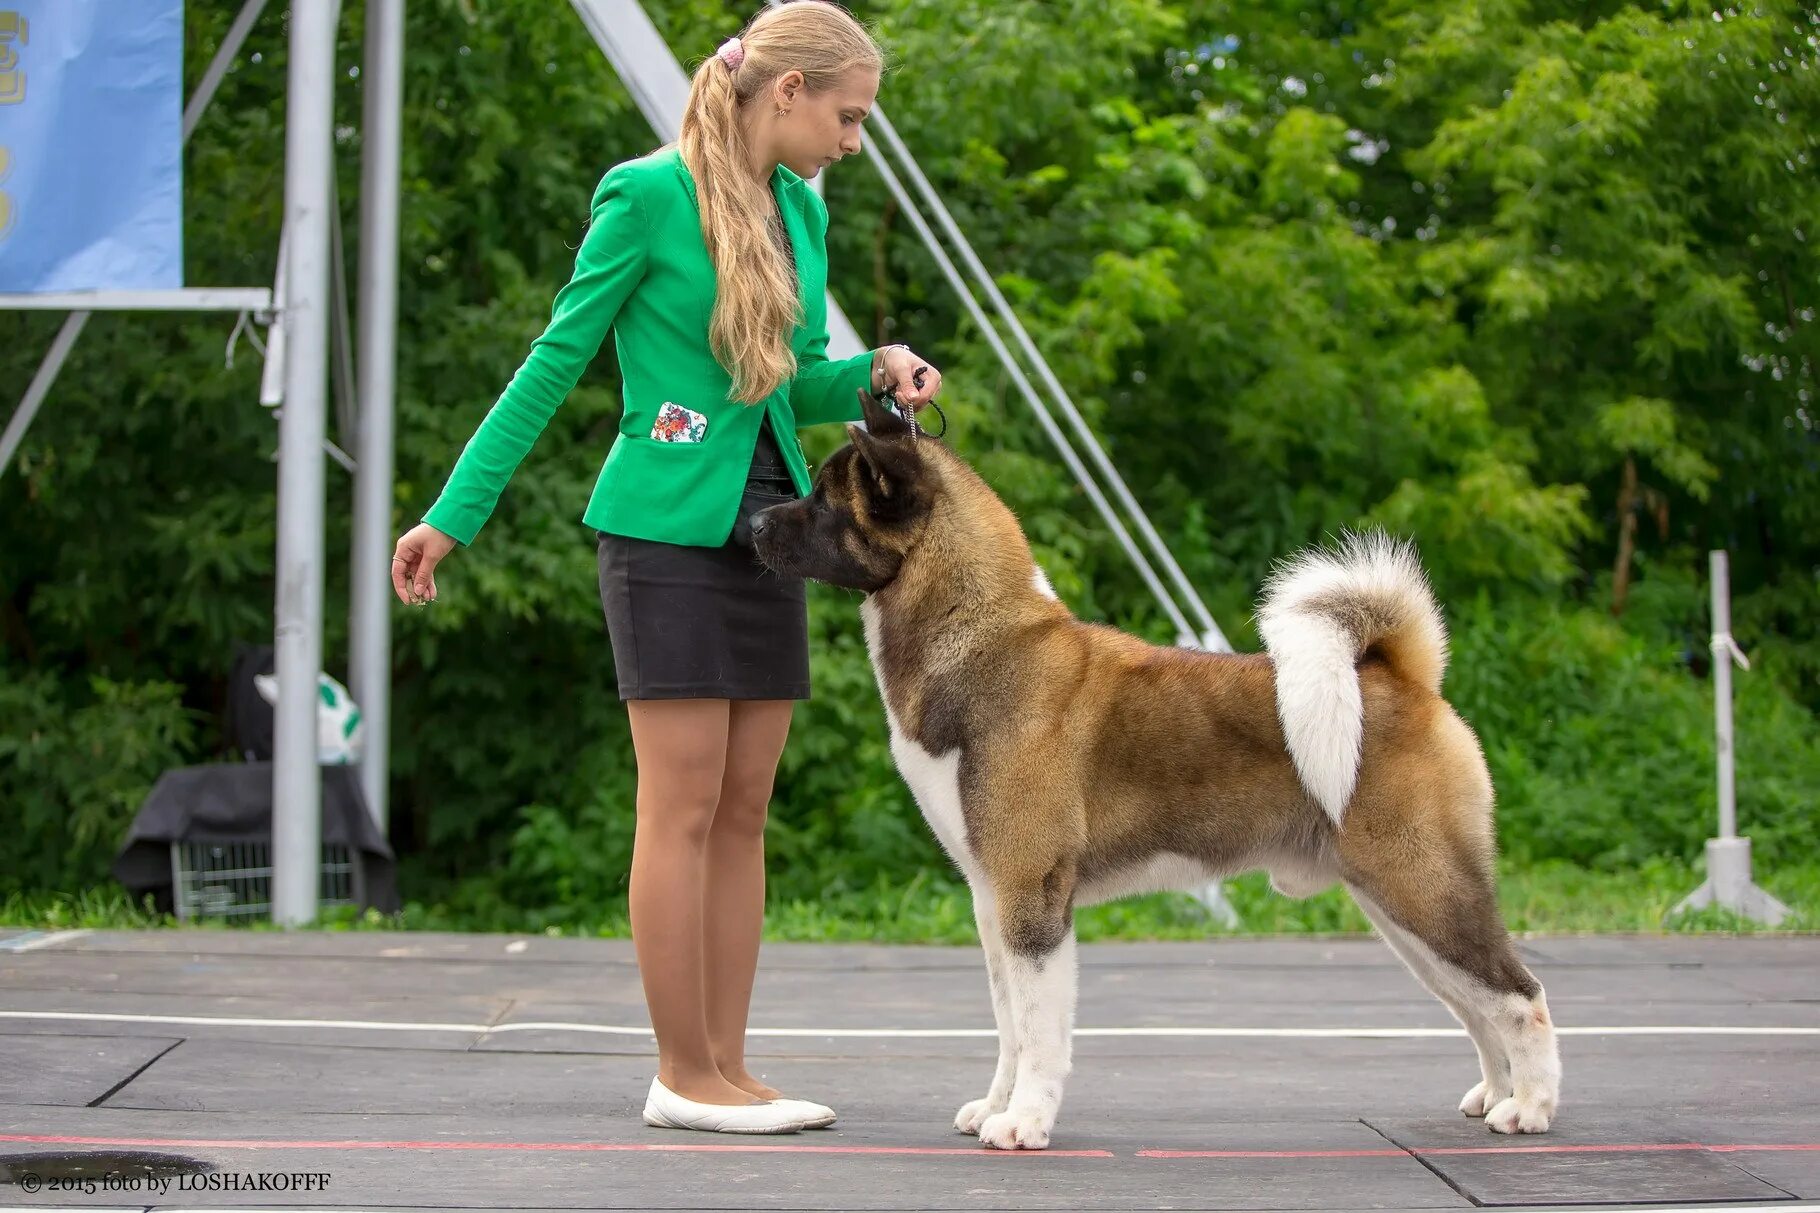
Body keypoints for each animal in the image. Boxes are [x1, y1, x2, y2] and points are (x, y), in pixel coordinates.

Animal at [746, 391, 1557, 1151]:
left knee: (1520, 994)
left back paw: (1531, 1107)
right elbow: (1009, 1025)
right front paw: (996, 1106)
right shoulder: (992, 901)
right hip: (1401, 908)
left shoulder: (1032, 899)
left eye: (825, 499)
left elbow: (1039, 1032)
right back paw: (1495, 1094)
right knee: (1475, 1004)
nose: (752, 526)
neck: (981, 639)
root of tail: (1402, 678)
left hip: (1424, 888)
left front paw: (1025, 1121)